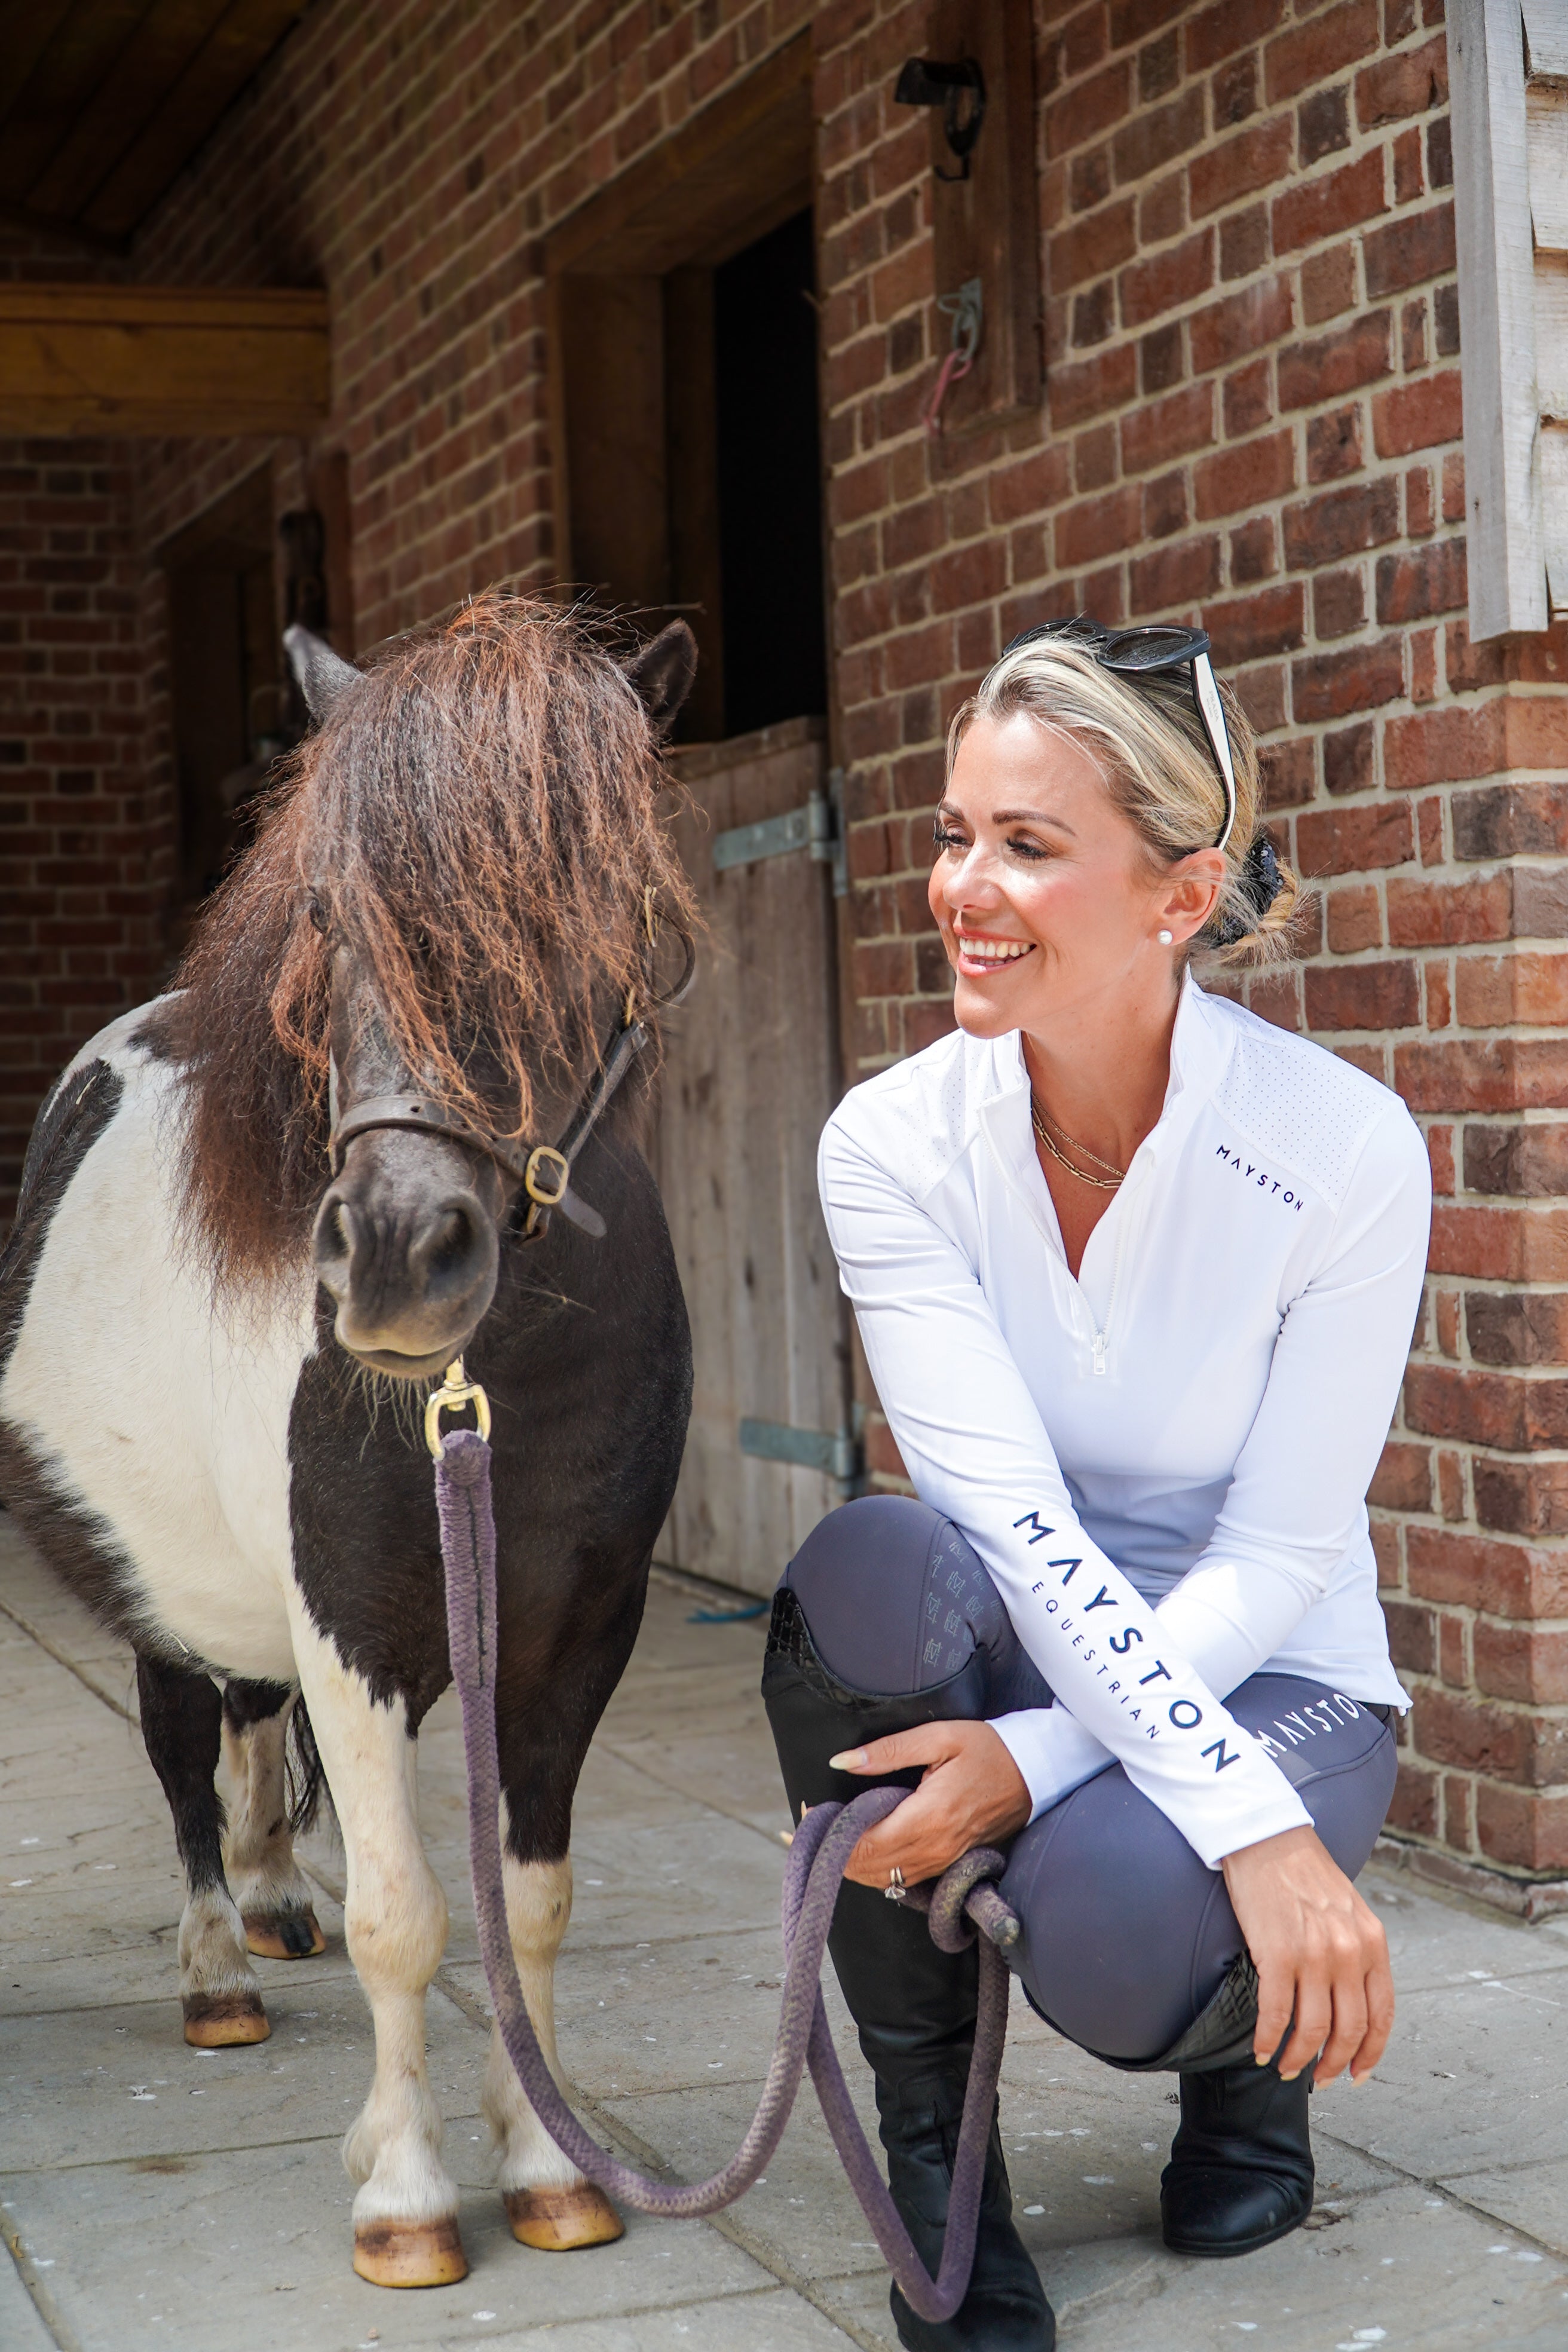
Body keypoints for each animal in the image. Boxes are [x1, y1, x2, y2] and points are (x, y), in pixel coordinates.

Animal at [0, 595, 700, 2289]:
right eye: (324, 912)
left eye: (582, 905)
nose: (393, 1258)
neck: (495, 1387)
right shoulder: (355, 1630)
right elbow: (404, 1914)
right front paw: (406, 2193)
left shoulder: (576, 1635)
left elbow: (528, 1907)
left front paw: (550, 2164)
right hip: (160, 1592)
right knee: (184, 1751)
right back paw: (216, 1972)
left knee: (249, 1738)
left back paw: (266, 1902)